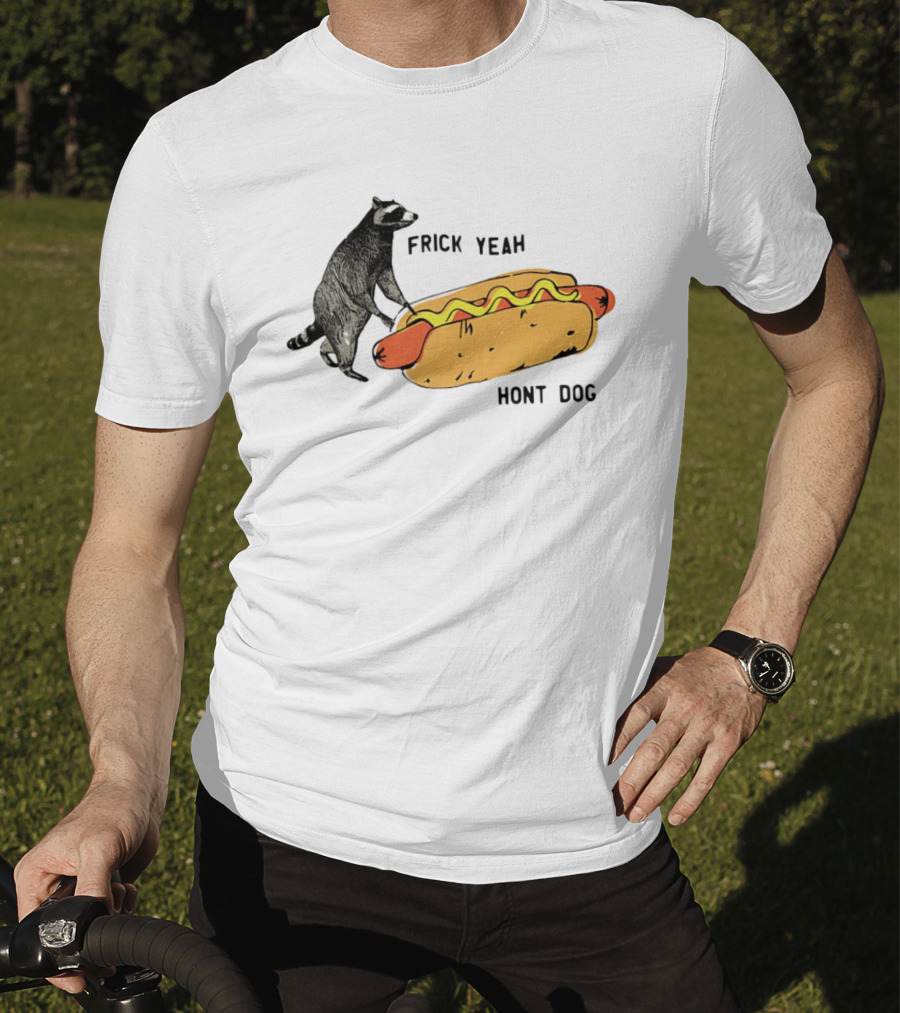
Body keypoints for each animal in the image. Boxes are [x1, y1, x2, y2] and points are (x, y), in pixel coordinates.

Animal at [287, 197, 418, 382]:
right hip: (333, 315)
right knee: (344, 343)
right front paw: (379, 312)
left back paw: (324, 350)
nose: (415, 215)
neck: (382, 233)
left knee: (336, 342)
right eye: (398, 211)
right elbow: (357, 290)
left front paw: (404, 302)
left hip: (345, 322)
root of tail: (318, 316)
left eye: (403, 208)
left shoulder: (383, 261)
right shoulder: (355, 261)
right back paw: (347, 369)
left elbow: (388, 285)